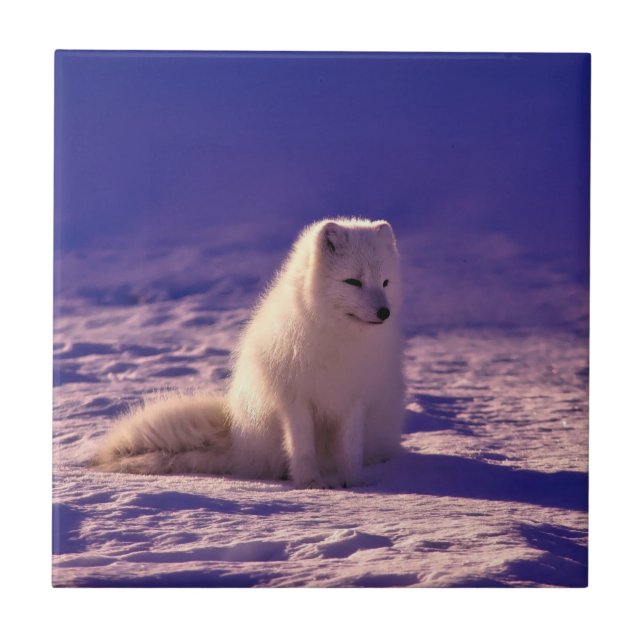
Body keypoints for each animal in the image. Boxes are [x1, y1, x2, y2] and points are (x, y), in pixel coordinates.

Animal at [93, 217, 405, 488]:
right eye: (353, 282)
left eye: (386, 282)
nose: (384, 312)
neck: (338, 340)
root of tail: (237, 439)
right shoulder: (294, 399)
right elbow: (302, 447)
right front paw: (311, 483)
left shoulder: (356, 399)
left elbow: (351, 449)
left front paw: (354, 482)